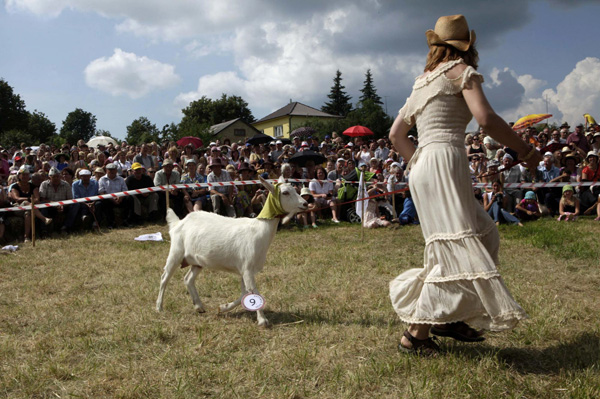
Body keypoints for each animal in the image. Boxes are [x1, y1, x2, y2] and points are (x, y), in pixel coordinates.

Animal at [157, 177, 308, 326]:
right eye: (285, 192)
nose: (305, 203)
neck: (259, 230)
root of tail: (178, 223)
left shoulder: (244, 270)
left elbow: (245, 294)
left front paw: (223, 307)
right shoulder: (247, 269)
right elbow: (253, 292)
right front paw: (262, 320)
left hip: (197, 261)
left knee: (188, 279)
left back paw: (199, 306)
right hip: (176, 252)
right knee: (164, 278)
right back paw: (159, 307)